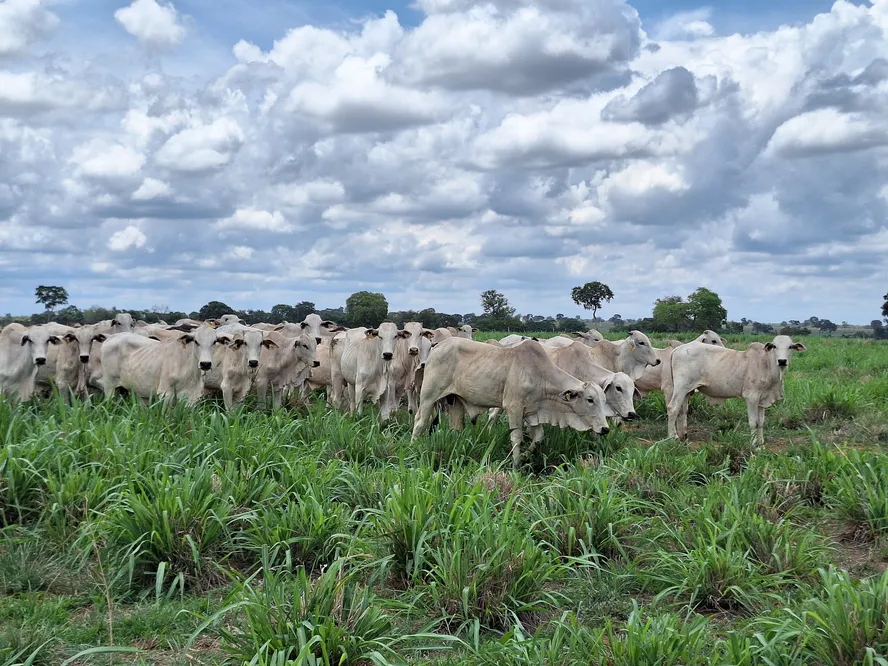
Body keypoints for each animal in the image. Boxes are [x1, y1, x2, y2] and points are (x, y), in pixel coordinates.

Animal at [412, 338, 612, 466]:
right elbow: (517, 438)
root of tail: (437, 346)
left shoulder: (532, 413)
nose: (605, 429)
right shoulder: (514, 409)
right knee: (419, 422)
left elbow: (538, 438)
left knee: (456, 426)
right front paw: (516, 465)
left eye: (604, 399)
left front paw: (524, 457)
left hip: (456, 401)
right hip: (428, 397)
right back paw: (413, 448)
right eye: (590, 399)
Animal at [664, 332, 804, 446]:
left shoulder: (762, 400)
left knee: (682, 411)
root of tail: (677, 349)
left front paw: (761, 443)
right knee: (672, 408)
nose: (782, 361)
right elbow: (753, 422)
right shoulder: (751, 397)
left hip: (687, 391)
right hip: (680, 388)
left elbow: (761, 422)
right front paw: (754, 444)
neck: (766, 364)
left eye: (790, 346)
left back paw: (683, 436)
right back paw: (672, 437)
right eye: (774, 346)